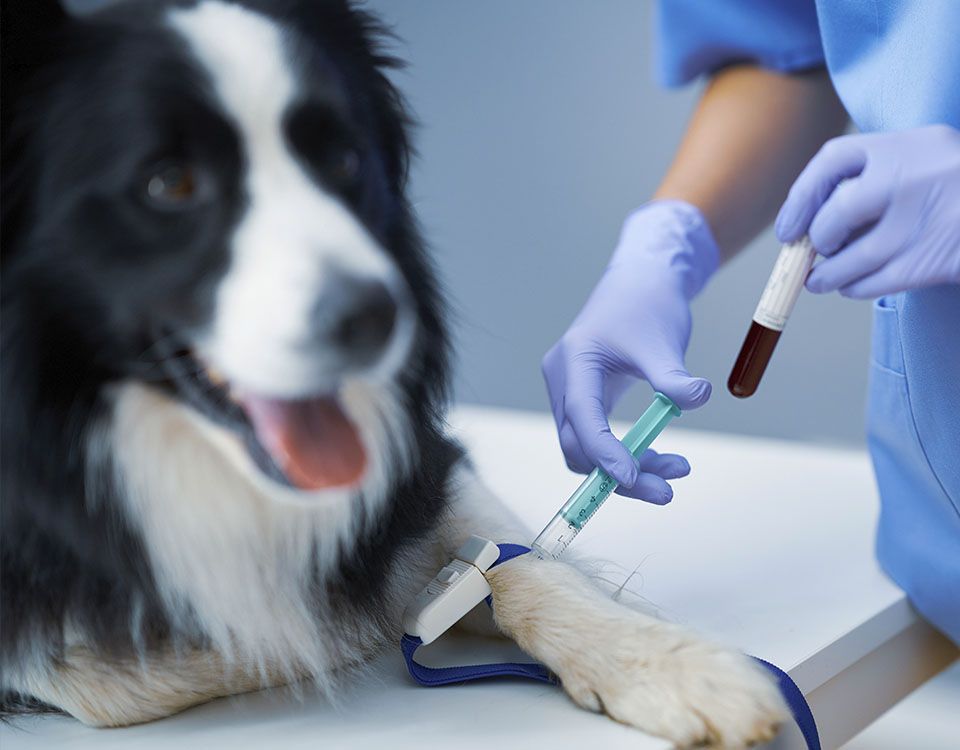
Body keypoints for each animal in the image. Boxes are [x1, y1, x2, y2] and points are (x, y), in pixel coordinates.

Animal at [0, 4, 788, 748]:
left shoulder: (427, 468)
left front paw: (678, 667)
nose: (379, 314)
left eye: (344, 162)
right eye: (169, 183)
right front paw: (363, 616)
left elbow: (519, 561)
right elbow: (118, 674)